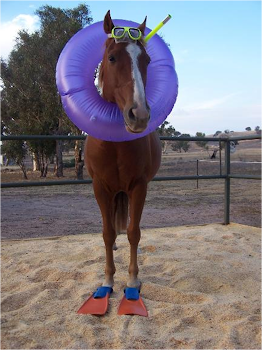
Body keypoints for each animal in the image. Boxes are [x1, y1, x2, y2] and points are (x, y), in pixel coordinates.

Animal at [84, 10, 162, 290]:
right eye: (112, 57)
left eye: (146, 60)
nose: (138, 115)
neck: (114, 146)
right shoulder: (100, 187)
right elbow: (107, 233)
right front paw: (108, 279)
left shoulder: (138, 186)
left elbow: (133, 232)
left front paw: (132, 279)